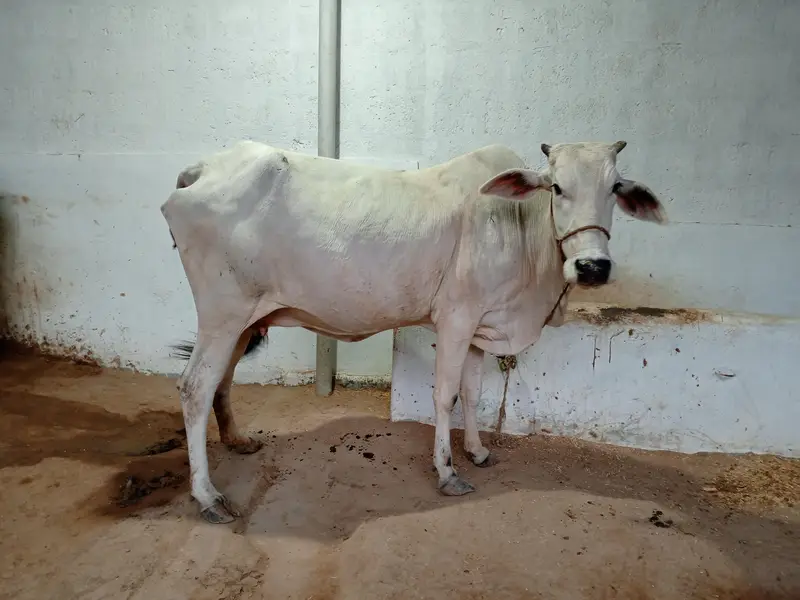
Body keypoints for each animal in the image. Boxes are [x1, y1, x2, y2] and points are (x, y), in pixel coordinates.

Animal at [162, 139, 666, 524]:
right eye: (557, 187)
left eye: (614, 189)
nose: (592, 267)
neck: (518, 229)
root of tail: (204, 167)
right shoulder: (456, 318)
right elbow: (445, 395)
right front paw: (448, 472)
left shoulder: (481, 326)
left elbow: (473, 393)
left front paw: (477, 451)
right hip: (222, 313)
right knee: (195, 387)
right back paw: (207, 496)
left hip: (242, 319)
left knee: (222, 380)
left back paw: (237, 441)